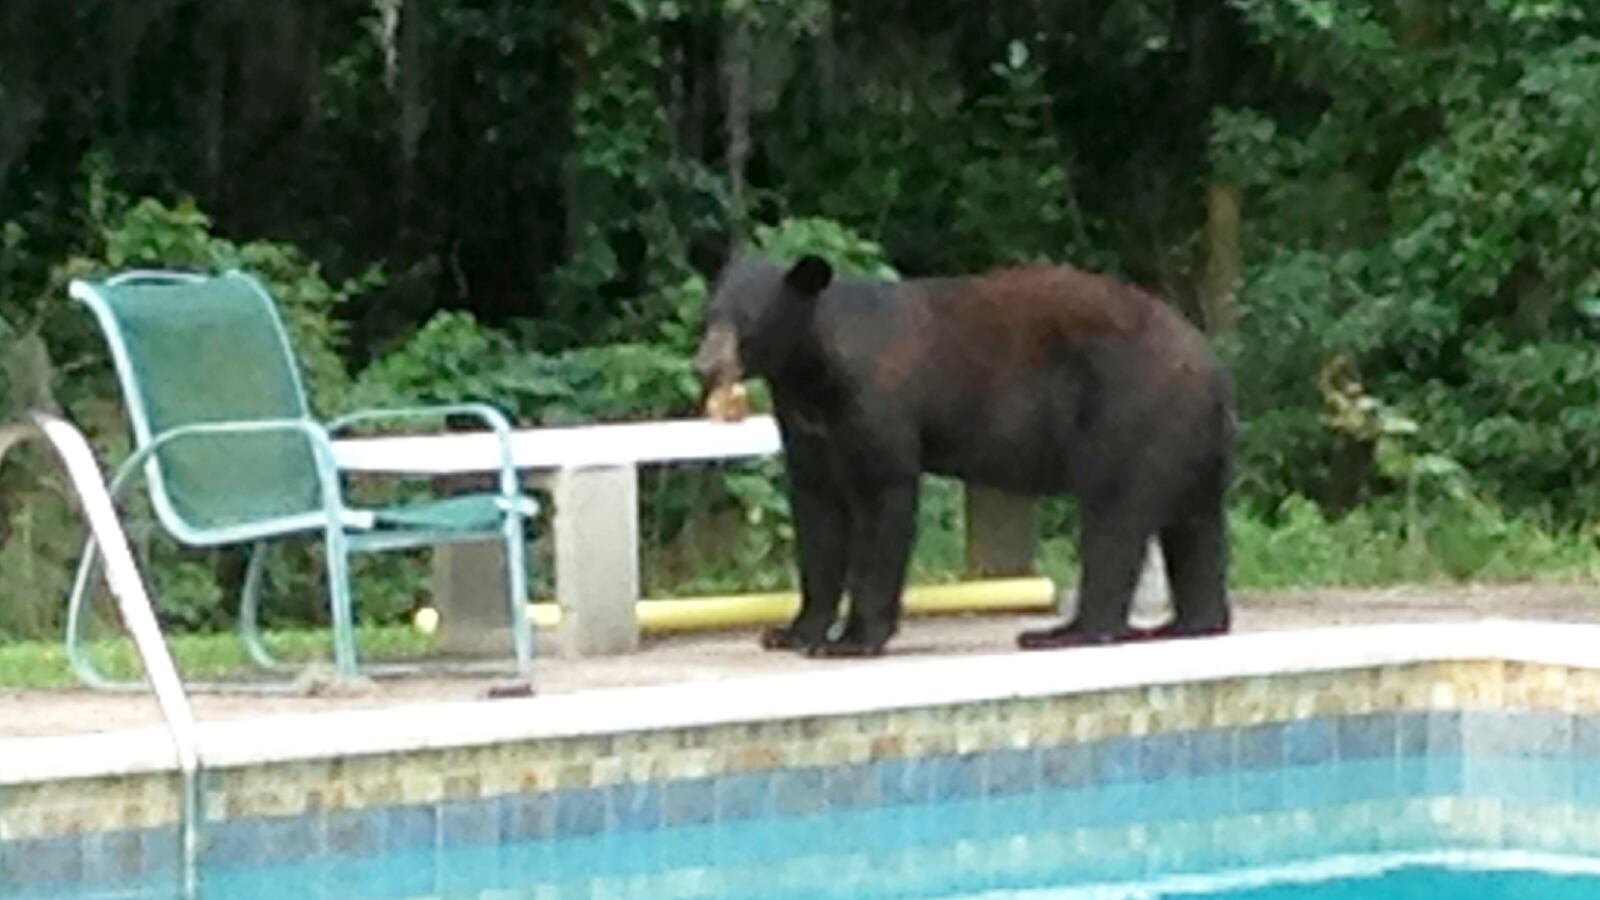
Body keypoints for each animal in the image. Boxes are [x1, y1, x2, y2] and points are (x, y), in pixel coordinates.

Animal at [693, 254, 1236, 657]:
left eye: (748, 320)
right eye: (711, 312)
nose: (706, 365)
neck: (813, 371)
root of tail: (1212, 366)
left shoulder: (874, 404)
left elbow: (882, 502)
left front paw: (853, 639)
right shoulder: (807, 426)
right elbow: (817, 514)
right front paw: (793, 632)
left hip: (1130, 410)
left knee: (1114, 517)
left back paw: (1067, 632)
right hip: (1190, 440)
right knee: (1195, 525)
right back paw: (1190, 623)